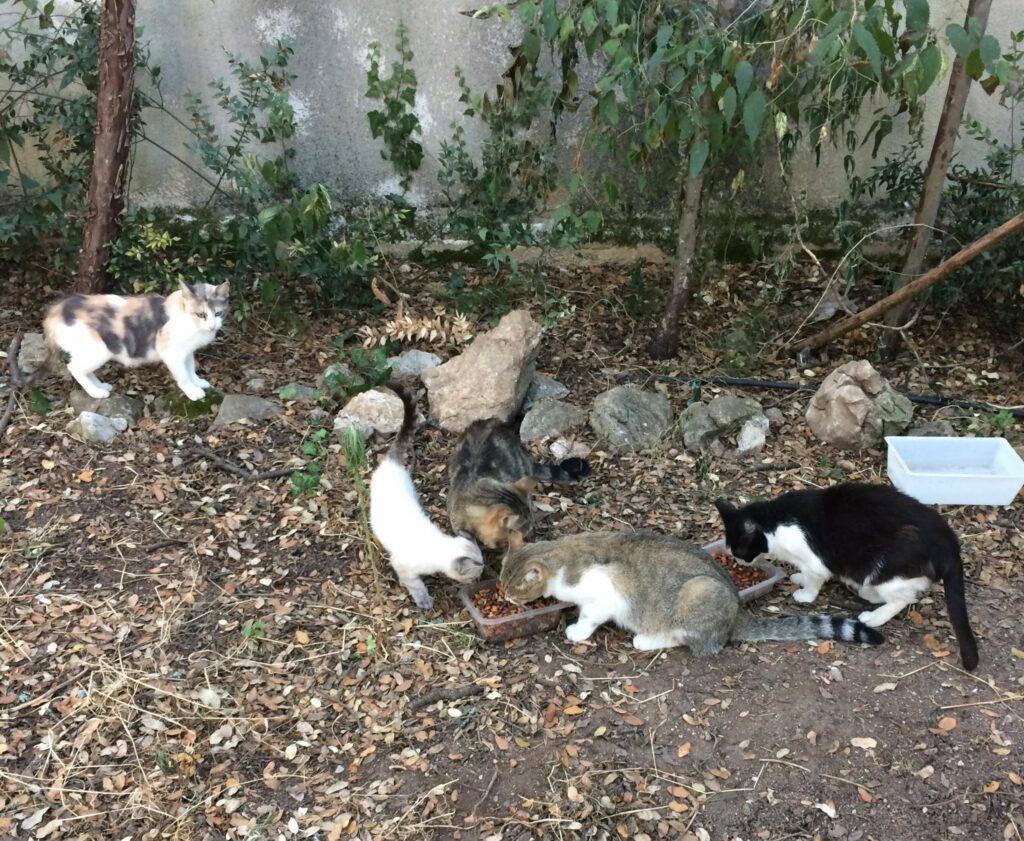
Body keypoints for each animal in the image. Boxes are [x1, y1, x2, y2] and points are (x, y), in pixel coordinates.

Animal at [41, 280, 228, 401]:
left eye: (218, 313)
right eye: (201, 314)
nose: (212, 326)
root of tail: (57, 309)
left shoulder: (187, 351)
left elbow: (190, 368)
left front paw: (198, 382)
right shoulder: (172, 352)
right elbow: (183, 375)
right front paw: (192, 391)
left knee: (83, 369)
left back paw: (101, 387)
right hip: (100, 349)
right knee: (75, 368)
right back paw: (96, 392)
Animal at [370, 383, 485, 606]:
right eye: (474, 576)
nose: (479, 580)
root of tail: (391, 464)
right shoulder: (403, 567)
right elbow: (416, 586)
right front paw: (425, 602)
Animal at [499, 528, 884, 651]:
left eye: (512, 591)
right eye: (500, 584)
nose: (503, 597)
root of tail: (736, 612)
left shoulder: (604, 595)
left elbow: (590, 615)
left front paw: (577, 630)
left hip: (696, 593)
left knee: (693, 641)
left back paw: (647, 640)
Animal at [716, 481, 978, 671]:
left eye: (739, 550)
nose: (738, 561)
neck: (774, 521)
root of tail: (948, 543)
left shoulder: (815, 561)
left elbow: (814, 579)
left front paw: (805, 594)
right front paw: (798, 578)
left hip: (884, 568)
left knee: (902, 598)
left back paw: (873, 616)